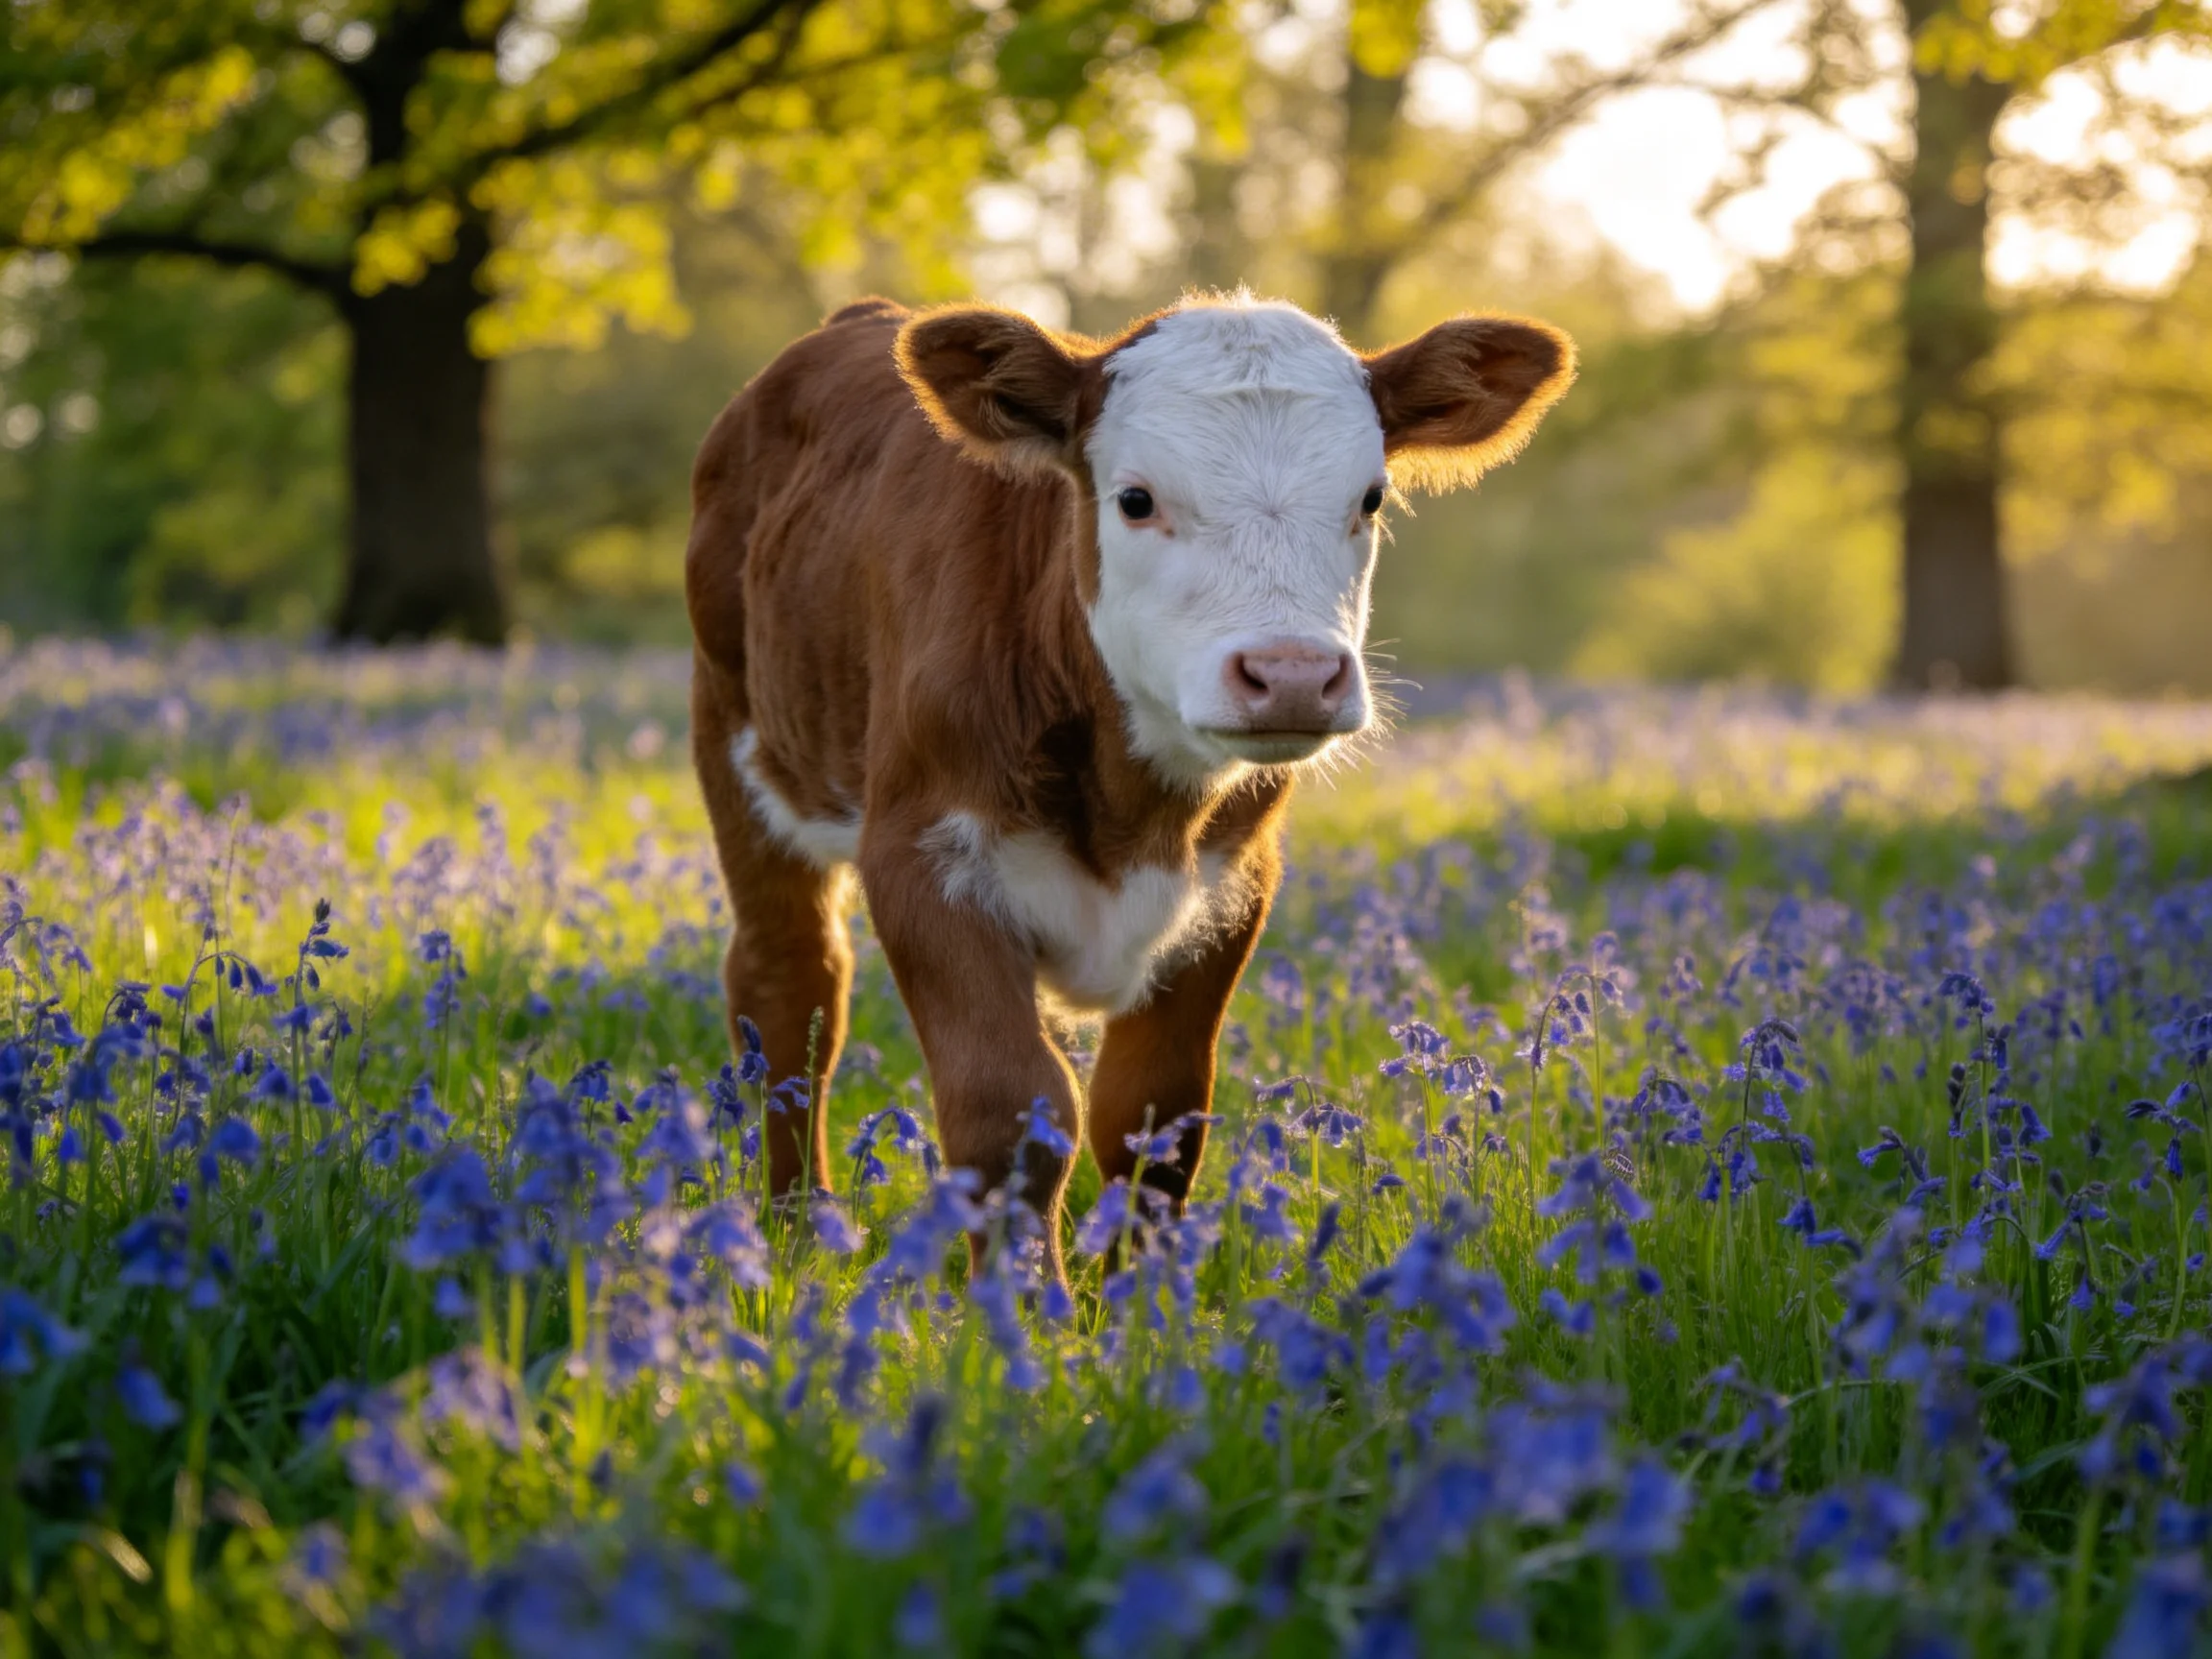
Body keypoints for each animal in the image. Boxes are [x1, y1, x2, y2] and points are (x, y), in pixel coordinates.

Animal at [686, 291, 1573, 1275]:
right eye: (1136, 500)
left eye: (1370, 498)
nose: (1292, 675)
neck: (1130, 813)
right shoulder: (920, 858)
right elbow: (1011, 1110)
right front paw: (1024, 1310)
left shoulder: (1233, 881)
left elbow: (1152, 1114)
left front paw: (1138, 1303)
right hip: (739, 745)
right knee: (792, 989)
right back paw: (800, 1225)